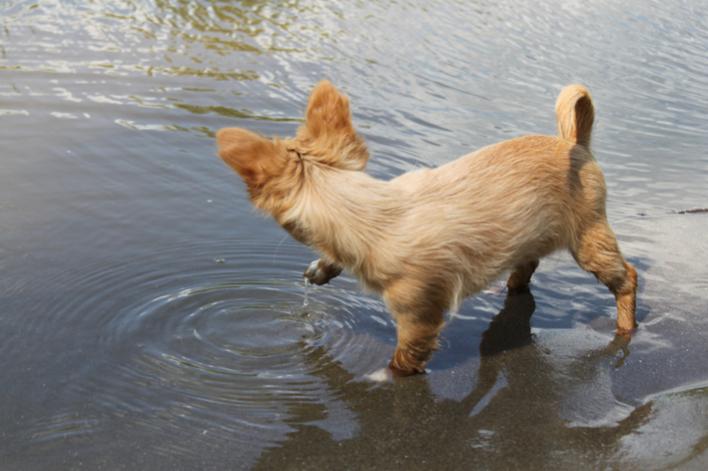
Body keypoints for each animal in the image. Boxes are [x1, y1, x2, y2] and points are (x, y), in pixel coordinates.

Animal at [216, 81, 637, 376]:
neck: (373, 214)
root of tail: (575, 144)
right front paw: (320, 270)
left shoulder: (418, 317)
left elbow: (404, 358)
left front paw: (384, 377)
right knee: (527, 266)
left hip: (589, 240)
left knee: (627, 278)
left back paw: (625, 327)